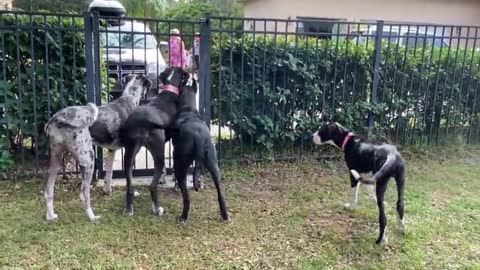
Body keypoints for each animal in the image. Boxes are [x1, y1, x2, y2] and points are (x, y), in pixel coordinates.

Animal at [44, 74, 151, 221]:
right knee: (83, 193)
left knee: (48, 191)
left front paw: (107, 191)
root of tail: (56, 118)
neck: (129, 98)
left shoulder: (112, 150)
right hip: (89, 160)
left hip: (56, 159)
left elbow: (109, 174)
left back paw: (51, 216)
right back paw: (92, 217)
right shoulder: (130, 151)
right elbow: (128, 178)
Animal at [120, 67, 189, 217]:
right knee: (152, 186)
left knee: (129, 185)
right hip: (158, 152)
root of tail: (142, 120)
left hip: (129, 153)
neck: (169, 90)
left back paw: (129, 209)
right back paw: (157, 209)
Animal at [171, 76, 229, 224]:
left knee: (186, 197)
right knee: (220, 192)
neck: (188, 109)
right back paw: (225, 215)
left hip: (180, 163)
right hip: (213, 162)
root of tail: (198, 138)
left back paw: (183, 217)